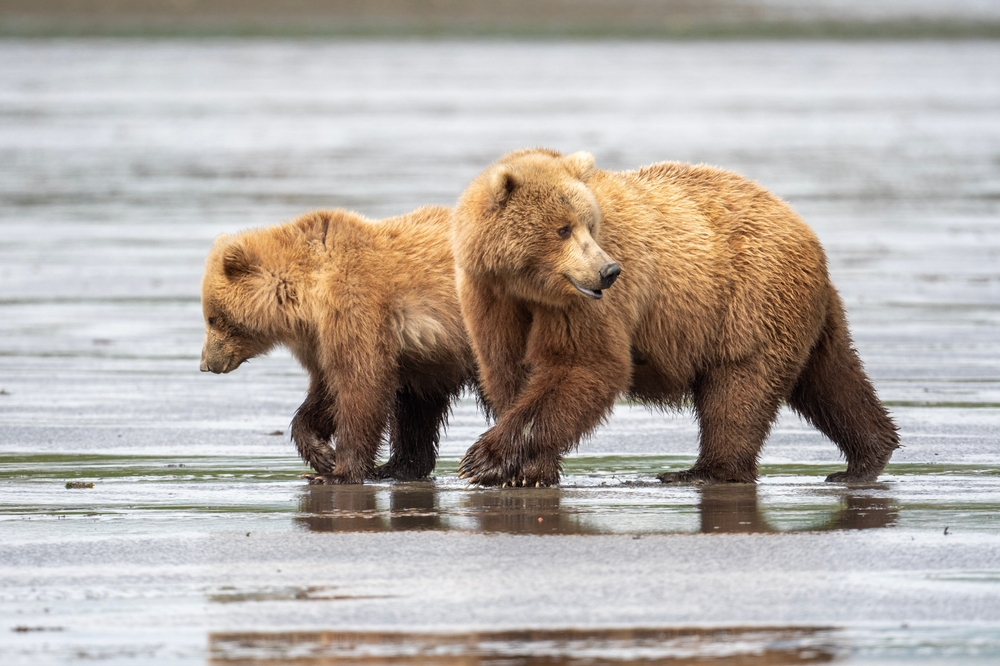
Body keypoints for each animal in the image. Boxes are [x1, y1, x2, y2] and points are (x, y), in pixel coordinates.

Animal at [200, 205, 475, 484]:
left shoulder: (354, 307)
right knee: (417, 408)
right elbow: (325, 394)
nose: (206, 364)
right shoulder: (319, 341)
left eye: (212, 318)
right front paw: (322, 455)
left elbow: (360, 385)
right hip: (431, 361)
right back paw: (397, 467)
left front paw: (338, 472)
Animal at [451, 148, 899, 487]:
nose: (608, 271)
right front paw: (529, 471)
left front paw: (483, 460)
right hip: (806, 309)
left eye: (590, 225)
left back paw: (704, 471)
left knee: (739, 388)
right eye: (563, 229)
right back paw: (868, 455)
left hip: (749, 299)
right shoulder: (490, 296)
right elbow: (510, 370)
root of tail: (803, 226)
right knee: (832, 378)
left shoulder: (584, 305)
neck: (528, 286)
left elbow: (584, 364)